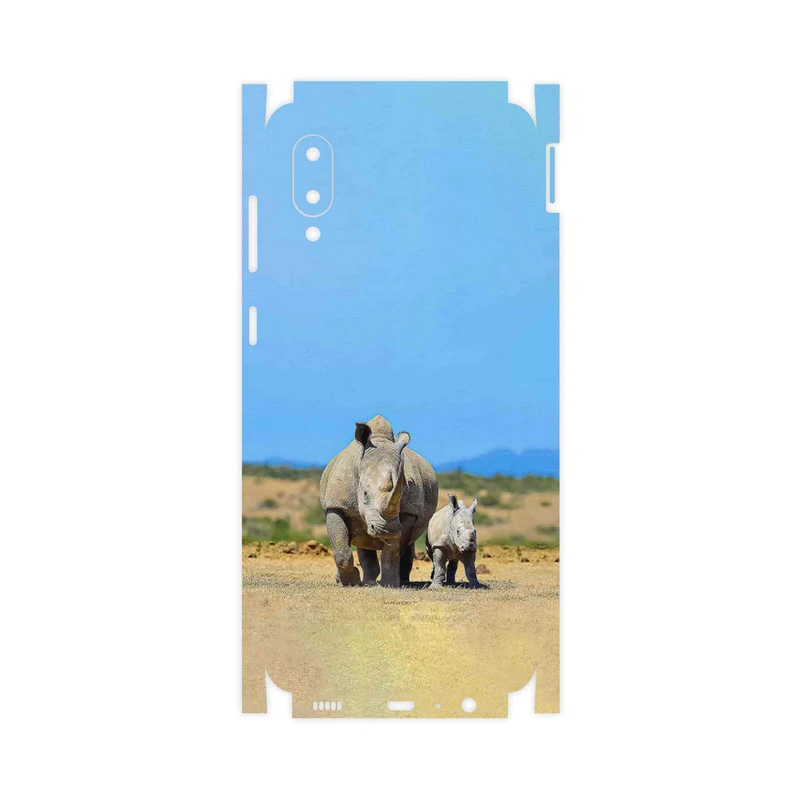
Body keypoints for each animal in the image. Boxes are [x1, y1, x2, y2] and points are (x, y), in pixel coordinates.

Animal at [319, 415, 439, 587]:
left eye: (400, 495)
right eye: (365, 494)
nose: (386, 530)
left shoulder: (408, 511)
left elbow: (392, 550)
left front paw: (390, 584)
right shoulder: (336, 505)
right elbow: (341, 549)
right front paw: (349, 582)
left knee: (407, 543)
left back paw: (401, 581)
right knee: (362, 540)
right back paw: (366, 582)